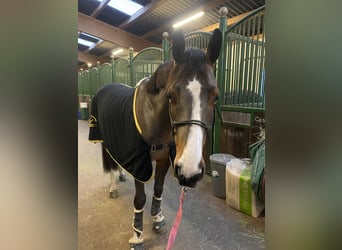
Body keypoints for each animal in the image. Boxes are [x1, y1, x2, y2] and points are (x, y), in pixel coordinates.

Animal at [88, 28, 222, 248]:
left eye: (215, 96)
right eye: (171, 95)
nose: (190, 171)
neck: (152, 118)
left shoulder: (164, 159)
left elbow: (158, 189)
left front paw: (157, 219)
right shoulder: (139, 162)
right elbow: (140, 198)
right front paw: (137, 235)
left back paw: (121, 176)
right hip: (104, 140)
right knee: (111, 164)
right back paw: (114, 186)